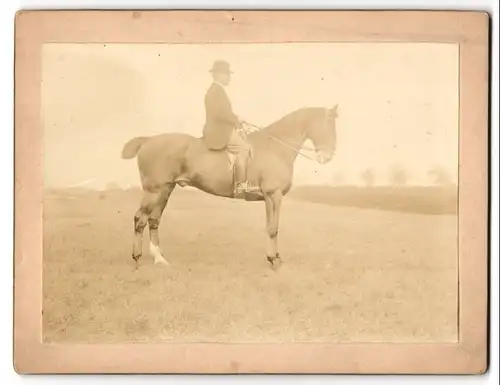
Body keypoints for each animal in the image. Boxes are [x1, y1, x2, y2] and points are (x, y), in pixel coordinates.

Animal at [121, 103, 340, 268]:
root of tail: (148, 140)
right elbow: (273, 228)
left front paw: (275, 257)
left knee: (154, 220)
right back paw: (137, 257)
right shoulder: (274, 195)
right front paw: (273, 260)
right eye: (330, 126)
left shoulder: (269, 198)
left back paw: (159, 258)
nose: (328, 156)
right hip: (154, 191)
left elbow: (271, 226)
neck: (275, 147)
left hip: (166, 189)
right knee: (140, 219)